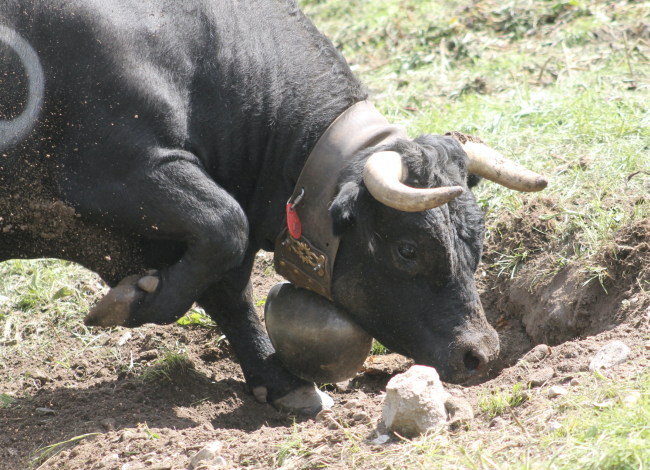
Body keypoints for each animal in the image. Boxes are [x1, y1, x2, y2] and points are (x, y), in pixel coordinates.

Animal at [0, 0, 502, 414]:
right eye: (408, 249)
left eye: (477, 244)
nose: (480, 353)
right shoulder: (117, 168)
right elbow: (226, 226)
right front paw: (134, 302)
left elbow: (230, 287)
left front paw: (279, 379)